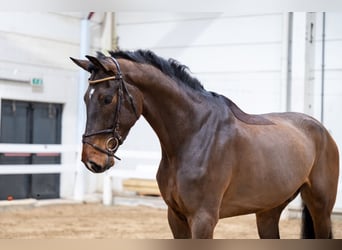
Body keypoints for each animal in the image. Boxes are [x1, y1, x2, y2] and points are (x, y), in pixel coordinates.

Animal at [70, 49, 340, 238]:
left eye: (106, 99)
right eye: (85, 98)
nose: (92, 160)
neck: (193, 134)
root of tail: (321, 129)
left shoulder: (203, 219)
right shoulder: (176, 217)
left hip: (321, 208)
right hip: (268, 211)